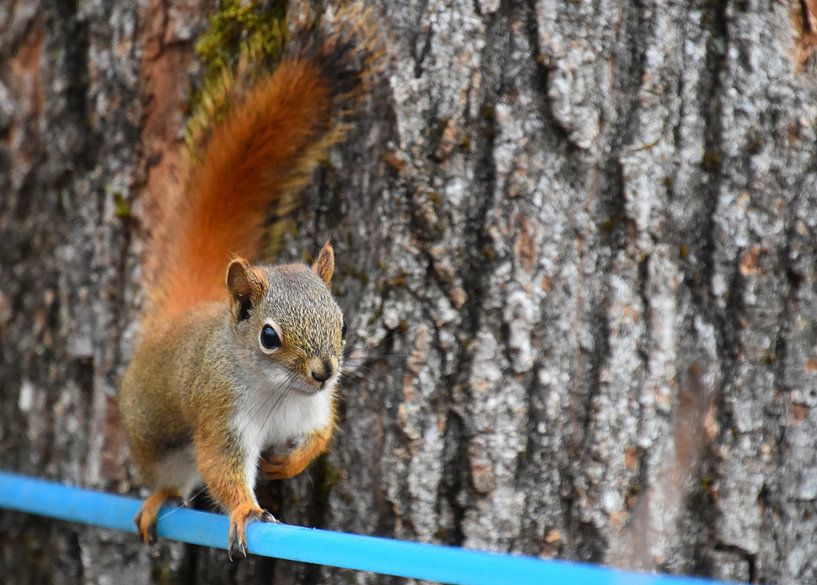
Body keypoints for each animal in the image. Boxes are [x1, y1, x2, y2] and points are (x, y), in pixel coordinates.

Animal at [117, 6, 378, 560]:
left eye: (343, 325)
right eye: (269, 336)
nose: (325, 372)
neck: (282, 393)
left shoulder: (313, 410)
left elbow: (320, 436)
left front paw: (291, 463)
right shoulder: (221, 416)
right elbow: (222, 468)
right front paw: (245, 510)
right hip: (153, 437)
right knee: (171, 480)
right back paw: (158, 499)